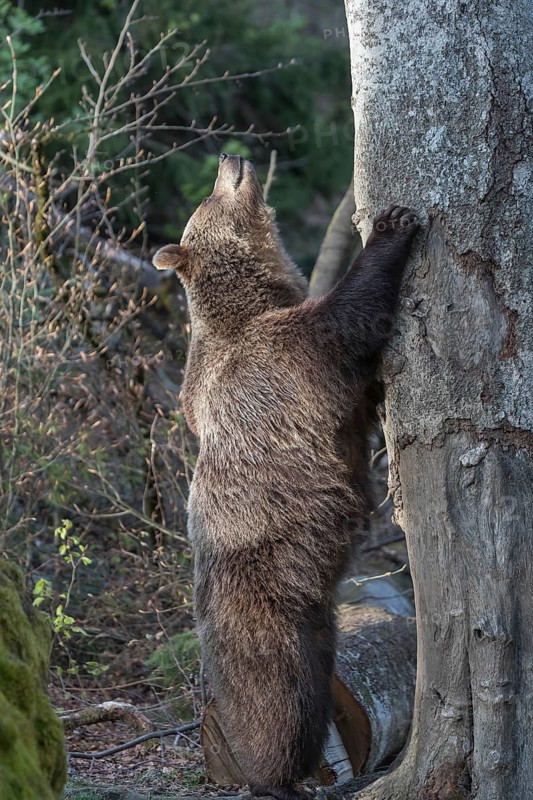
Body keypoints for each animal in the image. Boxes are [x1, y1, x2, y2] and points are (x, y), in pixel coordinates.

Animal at [153, 153, 419, 800]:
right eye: (211, 194)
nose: (230, 157)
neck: (256, 295)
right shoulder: (282, 356)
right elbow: (347, 321)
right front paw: (391, 227)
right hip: (268, 608)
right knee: (281, 700)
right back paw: (277, 774)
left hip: (319, 627)